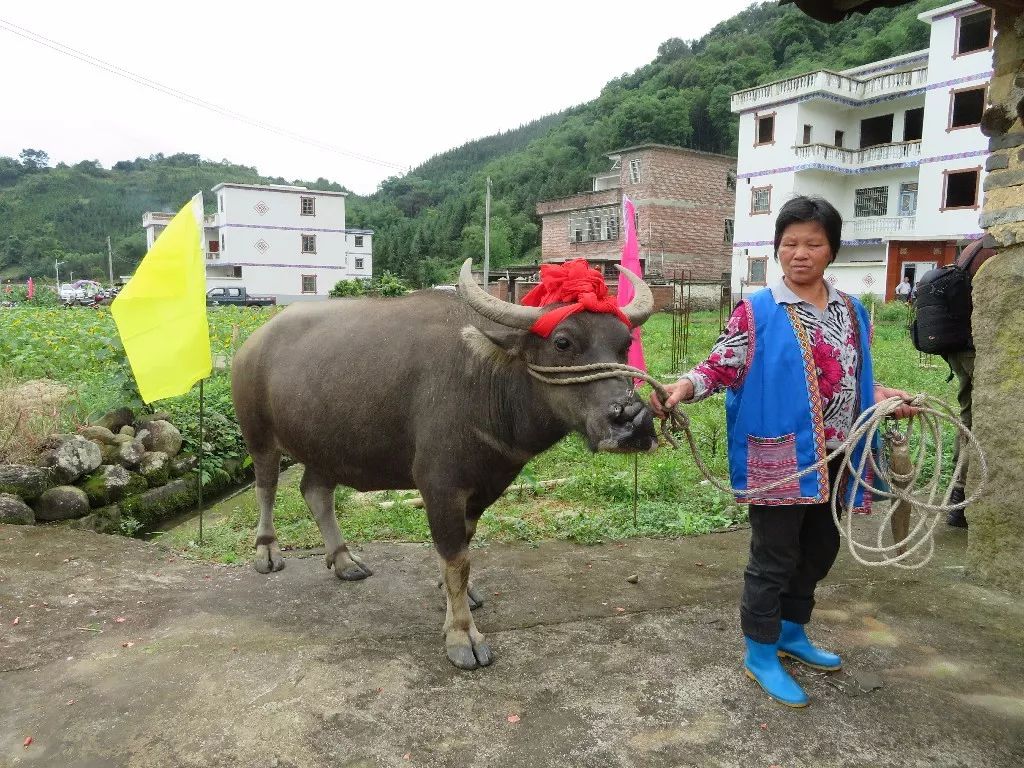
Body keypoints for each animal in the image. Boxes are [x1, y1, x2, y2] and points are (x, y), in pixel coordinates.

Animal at [232, 259, 655, 667]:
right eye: (563, 342)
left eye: (625, 343)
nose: (632, 421)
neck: (487, 382)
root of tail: (252, 343)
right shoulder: (439, 485)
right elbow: (456, 560)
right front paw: (462, 635)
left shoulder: (484, 486)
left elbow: (462, 549)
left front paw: (458, 599)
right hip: (258, 436)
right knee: (266, 486)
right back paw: (267, 551)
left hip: (327, 446)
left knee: (316, 491)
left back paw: (344, 560)